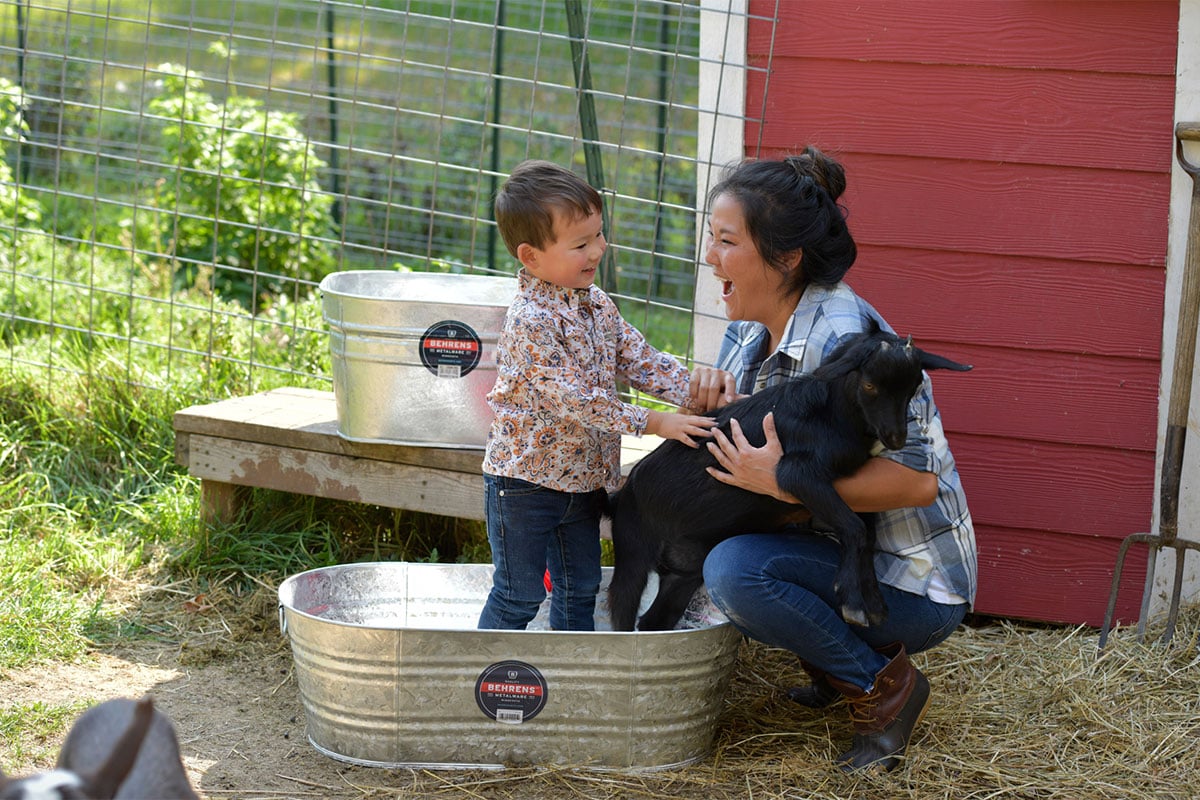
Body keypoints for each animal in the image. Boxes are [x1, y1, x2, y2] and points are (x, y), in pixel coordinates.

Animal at [604, 321, 969, 633]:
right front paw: (853, 600)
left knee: (653, 621)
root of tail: (621, 494)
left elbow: (867, 532)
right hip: (633, 547)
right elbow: (854, 528)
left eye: (913, 388)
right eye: (870, 385)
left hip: (684, 572)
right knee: (623, 610)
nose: (896, 438)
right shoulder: (796, 474)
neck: (832, 415)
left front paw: (874, 603)